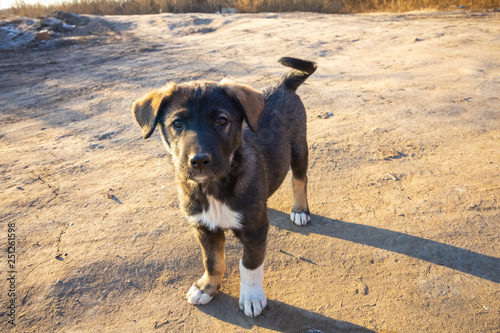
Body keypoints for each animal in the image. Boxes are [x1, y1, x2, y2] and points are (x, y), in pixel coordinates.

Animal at [131, 57, 314, 316]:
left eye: (221, 121)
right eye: (177, 123)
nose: (198, 161)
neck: (213, 188)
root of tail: (282, 85)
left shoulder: (256, 230)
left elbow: (250, 264)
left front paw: (251, 297)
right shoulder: (203, 227)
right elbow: (212, 261)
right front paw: (206, 287)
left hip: (299, 148)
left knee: (300, 179)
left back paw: (300, 210)